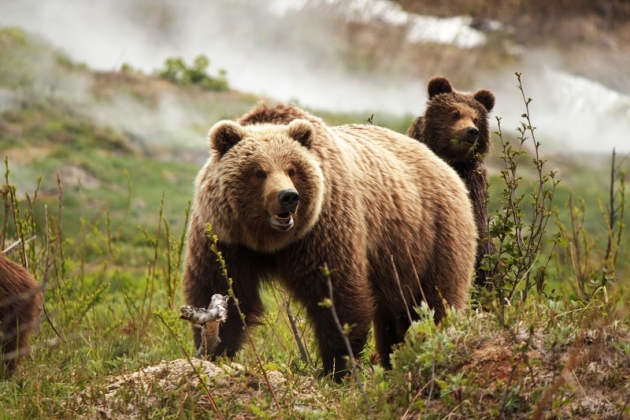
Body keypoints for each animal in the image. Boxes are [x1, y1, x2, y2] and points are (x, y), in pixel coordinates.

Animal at [184, 102, 478, 380]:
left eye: (292, 169)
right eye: (259, 171)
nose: (288, 196)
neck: (268, 240)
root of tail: (444, 165)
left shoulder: (322, 230)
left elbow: (337, 295)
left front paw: (336, 368)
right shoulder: (225, 239)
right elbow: (224, 289)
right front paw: (216, 350)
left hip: (432, 238)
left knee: (432, 304)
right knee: (394, 318)